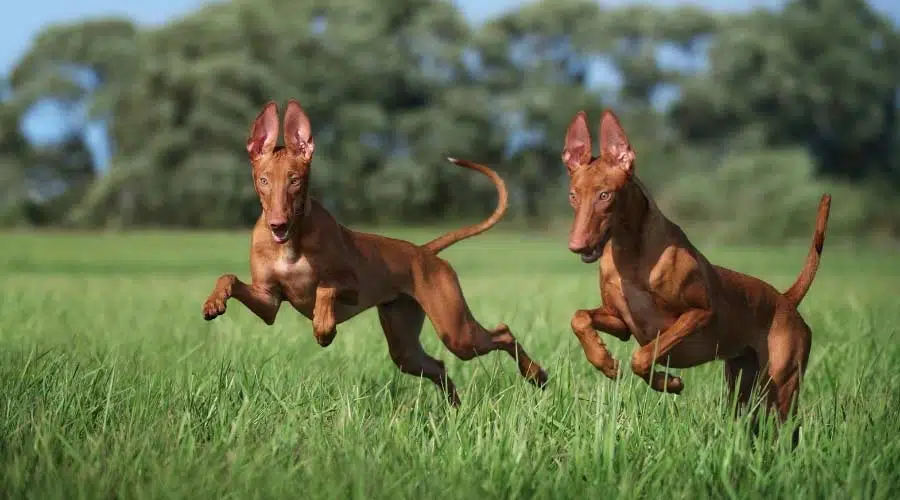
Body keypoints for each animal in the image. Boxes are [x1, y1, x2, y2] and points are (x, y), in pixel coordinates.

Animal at [203, 98, 548, 406]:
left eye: (295, 181)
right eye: (263, 180)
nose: (277, 224)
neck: (291, 242)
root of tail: (423, 252)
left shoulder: (352, 286)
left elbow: (325, 288)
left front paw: (324, 329)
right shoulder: (269, 302)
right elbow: (229, 278)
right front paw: (213, 303)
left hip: (456, 331)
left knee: (503, 333)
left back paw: (537, 375)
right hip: (404, 344)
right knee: (438, 366)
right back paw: (455, 410)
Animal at [564, 109, 828, 430]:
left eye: (605, 195)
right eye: (573, 196)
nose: (576, 245)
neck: (630, 255)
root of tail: (786, 300)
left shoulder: (699, 314)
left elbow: (643, 356)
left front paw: (668, 382)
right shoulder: (621, 322)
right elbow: (579, 318)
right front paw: (604, 361)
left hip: (781, 386)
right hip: (742, 383)